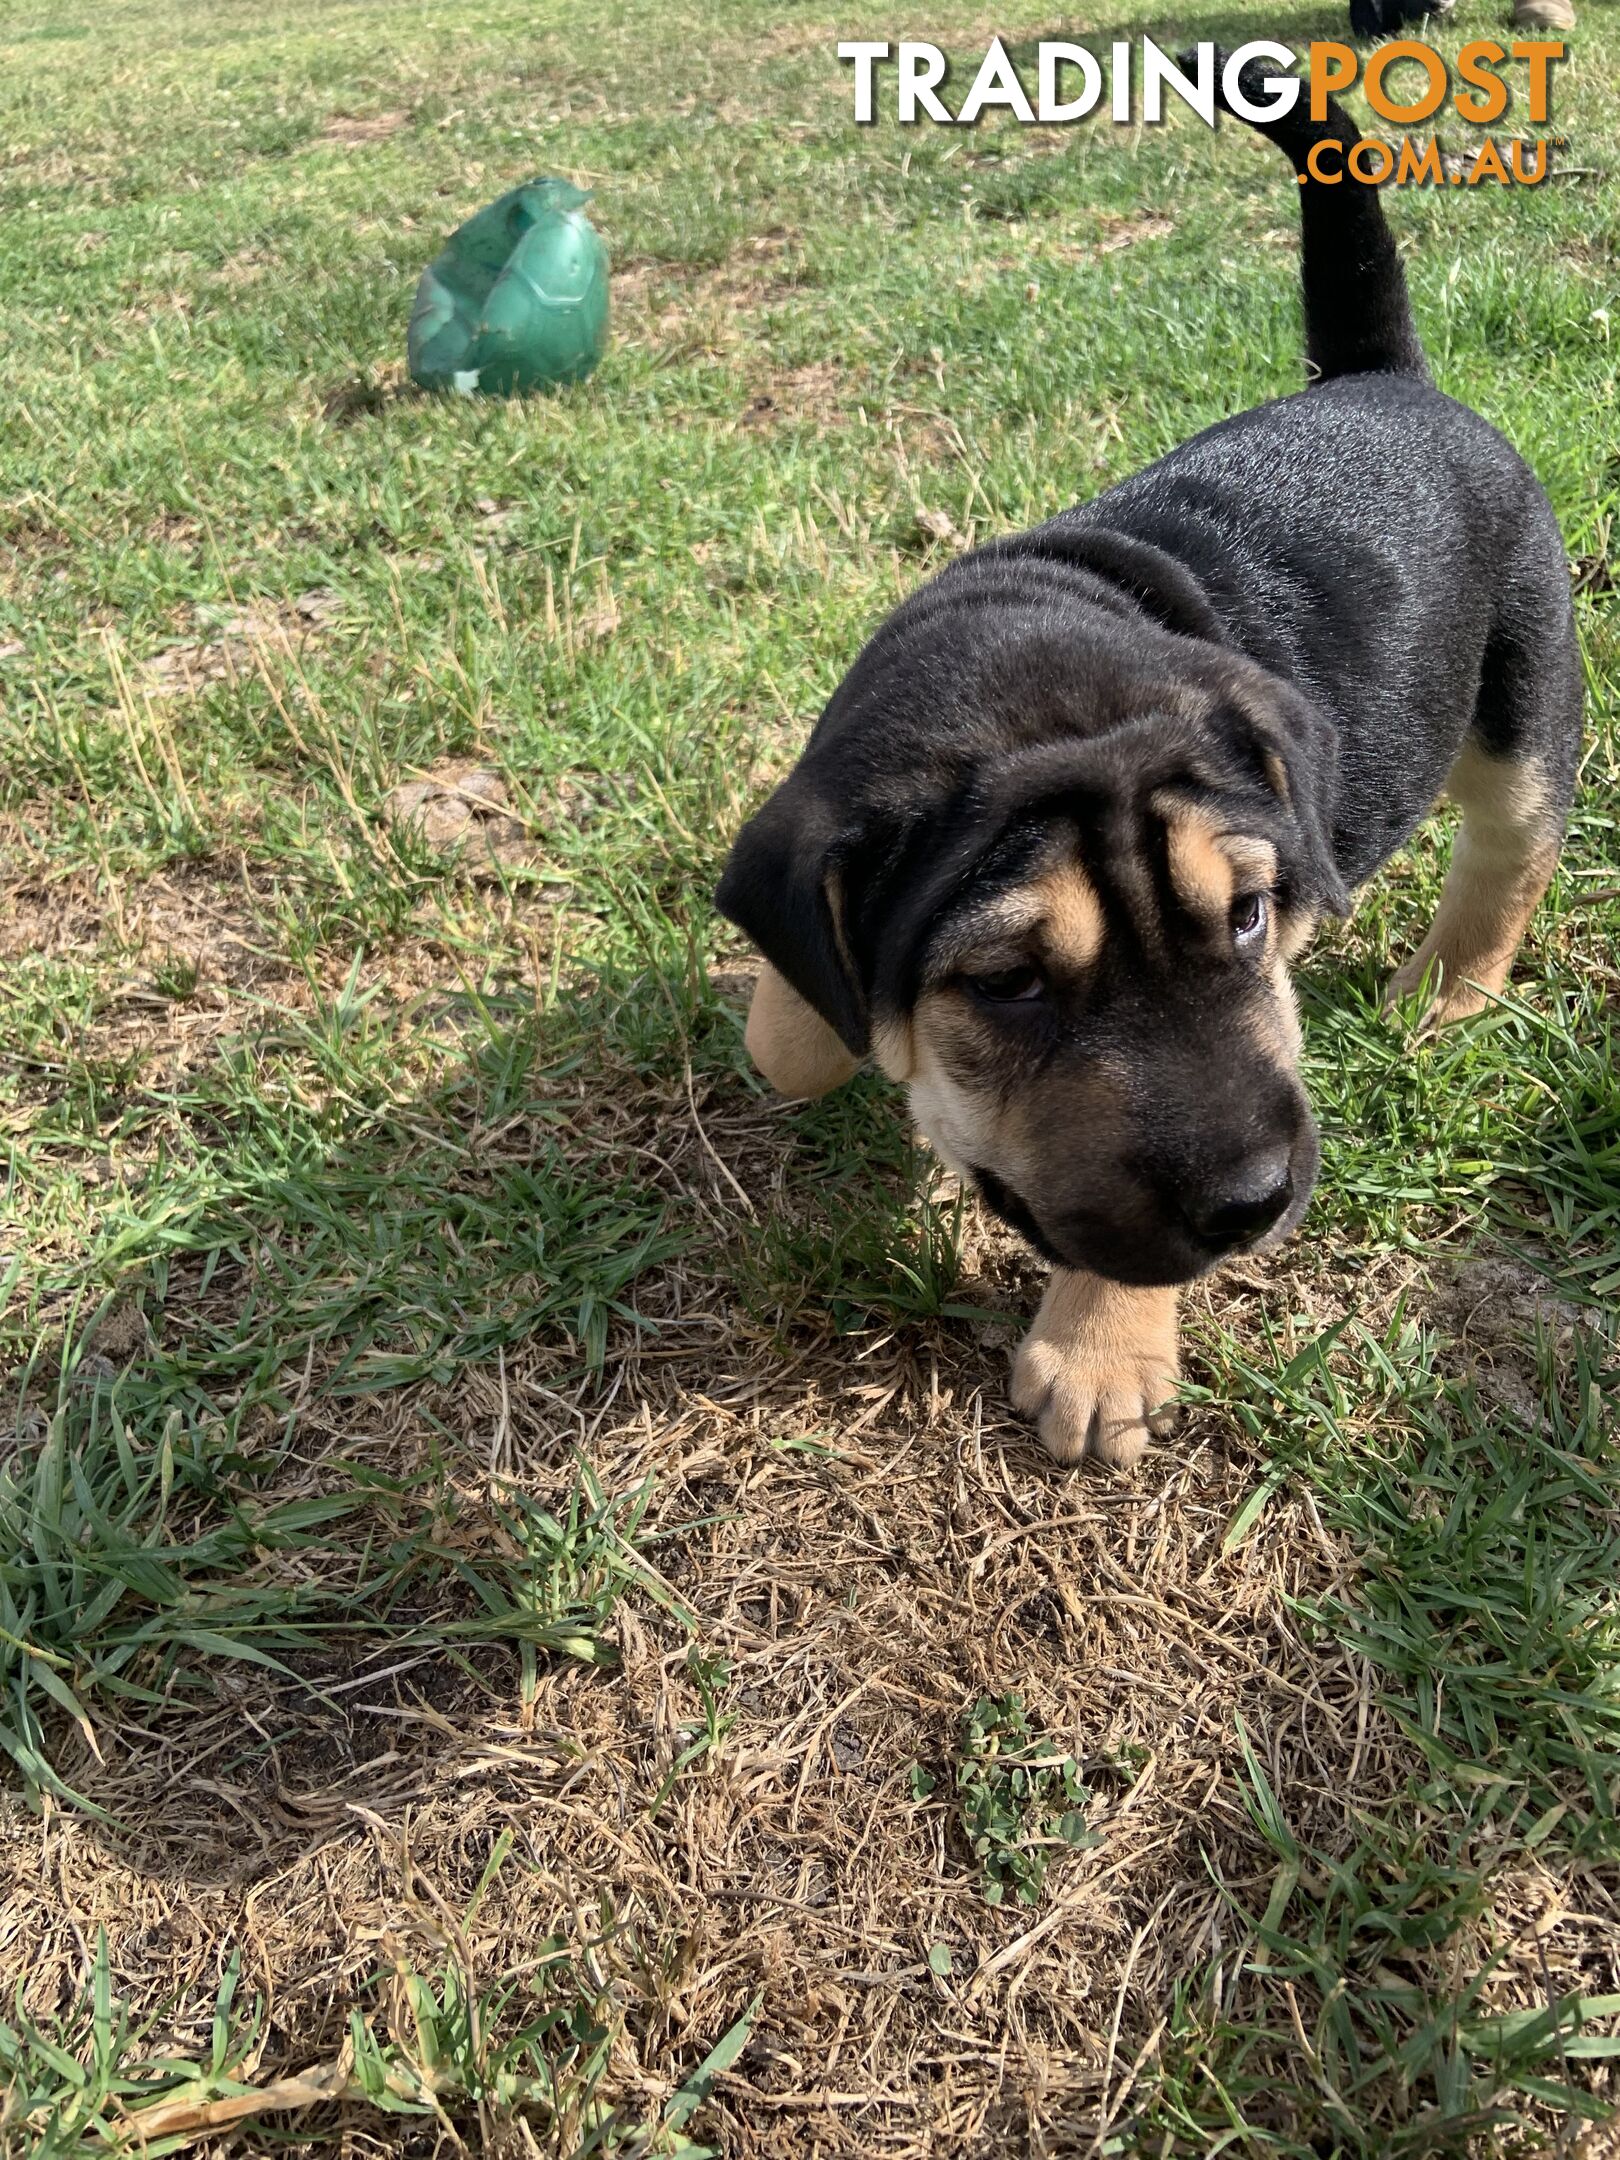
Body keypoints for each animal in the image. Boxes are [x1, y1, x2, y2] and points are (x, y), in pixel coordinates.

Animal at [717, 79, 1581, 1468]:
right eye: (1008, 983)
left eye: (1249, 915)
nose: (1256, 1204)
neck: (1031, 694)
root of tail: (1389, 377)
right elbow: (796, 1018)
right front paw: (814, 1023)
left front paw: (1097, 1350)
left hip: (1521, 698)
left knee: (1510, 853)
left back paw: (1443, 1000)